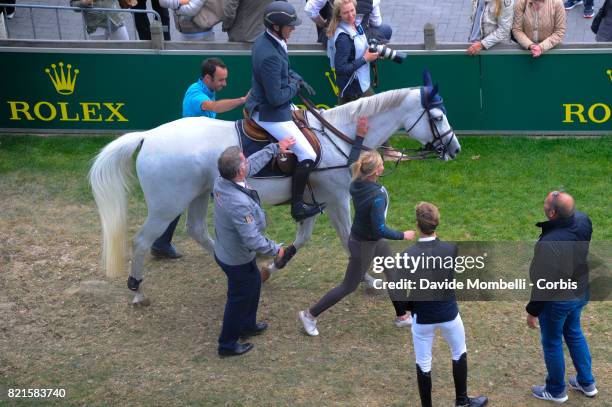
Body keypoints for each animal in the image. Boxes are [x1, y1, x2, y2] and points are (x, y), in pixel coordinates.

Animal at [87, 79, 460, 306]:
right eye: (438, 116)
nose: (454, 149)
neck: (342, 136)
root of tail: (148, 136)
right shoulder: (337, 199)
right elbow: (347, 241)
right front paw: (369, 279)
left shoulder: (313, 201)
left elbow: (304, 237)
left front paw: (273, 266)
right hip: (168, 204)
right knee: (142, 241)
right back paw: (137, 291)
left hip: (197, 195)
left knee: (197, 230)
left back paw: (243, 261)